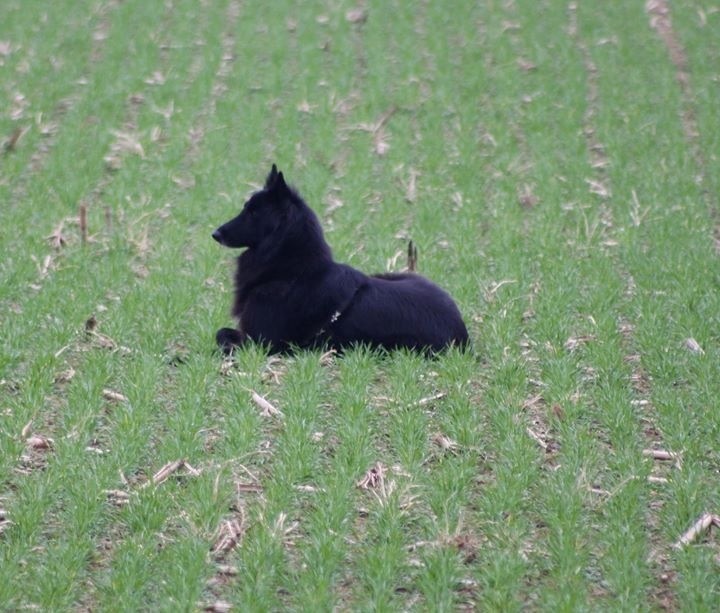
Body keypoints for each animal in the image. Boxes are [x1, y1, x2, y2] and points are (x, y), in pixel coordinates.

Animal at [211, 165, 470, 354]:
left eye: (252, 212)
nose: (215, 233)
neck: (292, 273)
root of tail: (463, 333)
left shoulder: (259, 343)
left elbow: (220, 336)